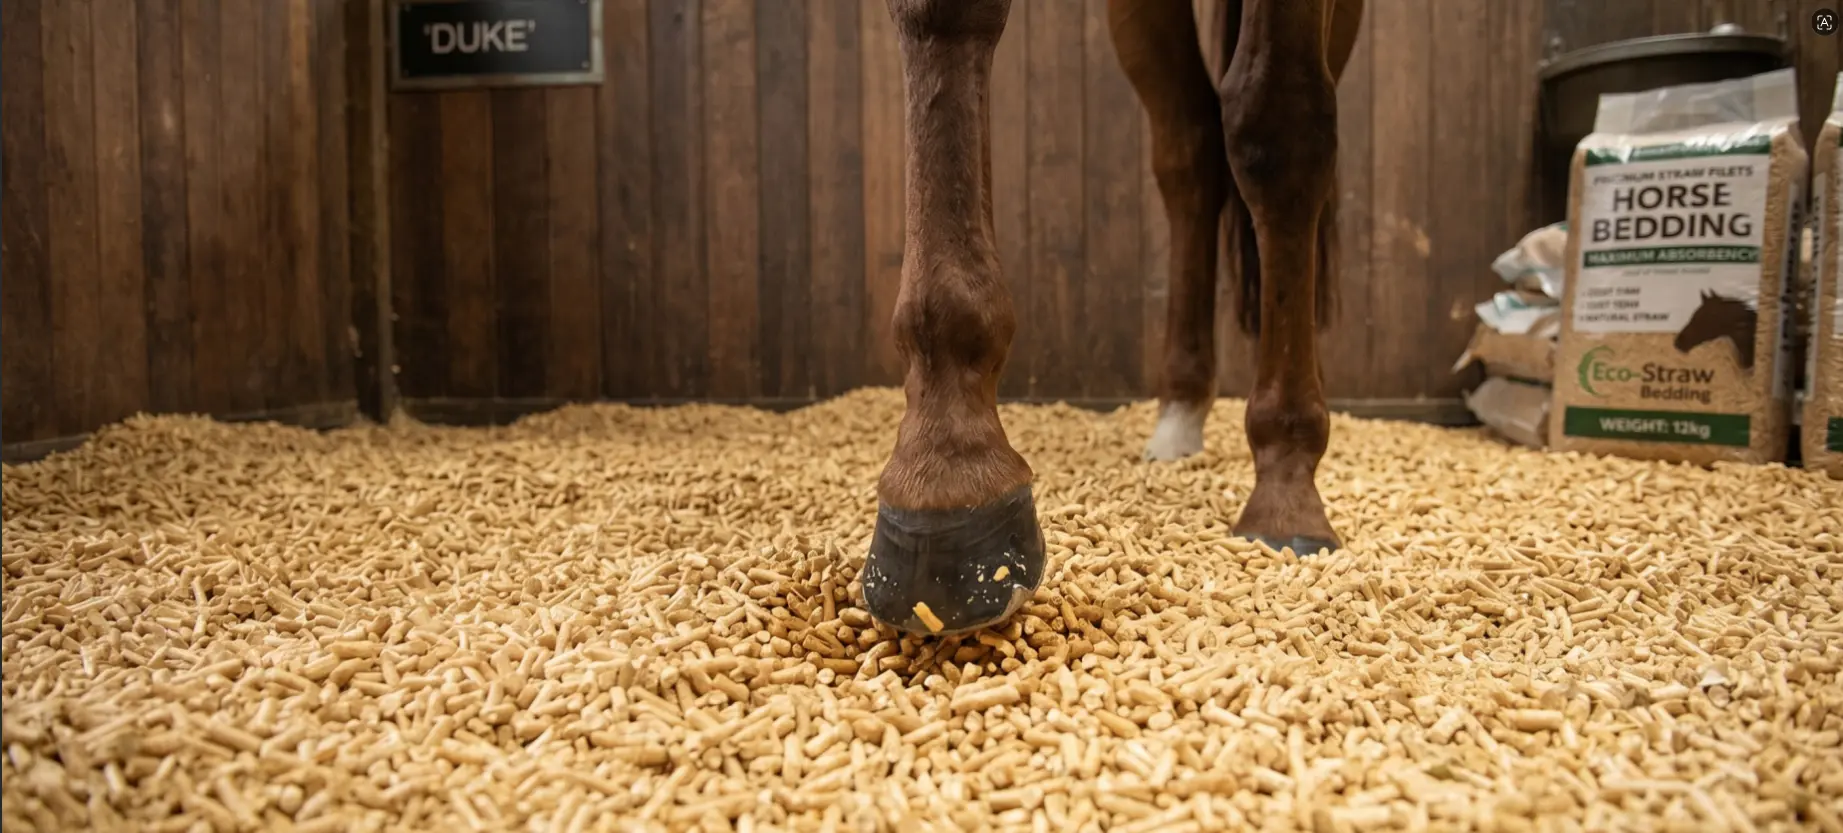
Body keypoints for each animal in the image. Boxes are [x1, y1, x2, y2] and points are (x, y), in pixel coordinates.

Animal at [859, 0, 1365, 635]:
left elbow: (1281, 126)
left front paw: (1287, 491)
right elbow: (943, 20)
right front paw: (947, 480)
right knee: (1191, 149)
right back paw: (1180, 411)